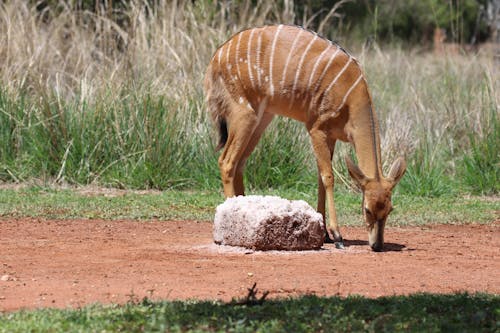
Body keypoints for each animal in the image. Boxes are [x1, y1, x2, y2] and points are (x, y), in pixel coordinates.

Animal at [203, 25, 406, 249]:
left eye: (390, 209)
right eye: (367, 209)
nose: (377, 245)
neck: (351, 98)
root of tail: (215, 58)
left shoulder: (331, 136)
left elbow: (320, 178)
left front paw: (325, 235)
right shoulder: (316, 128)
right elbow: (328, 177)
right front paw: (337, 236)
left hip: (261, 118)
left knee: (240, 162)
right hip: (244, 113)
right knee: (226, 161)